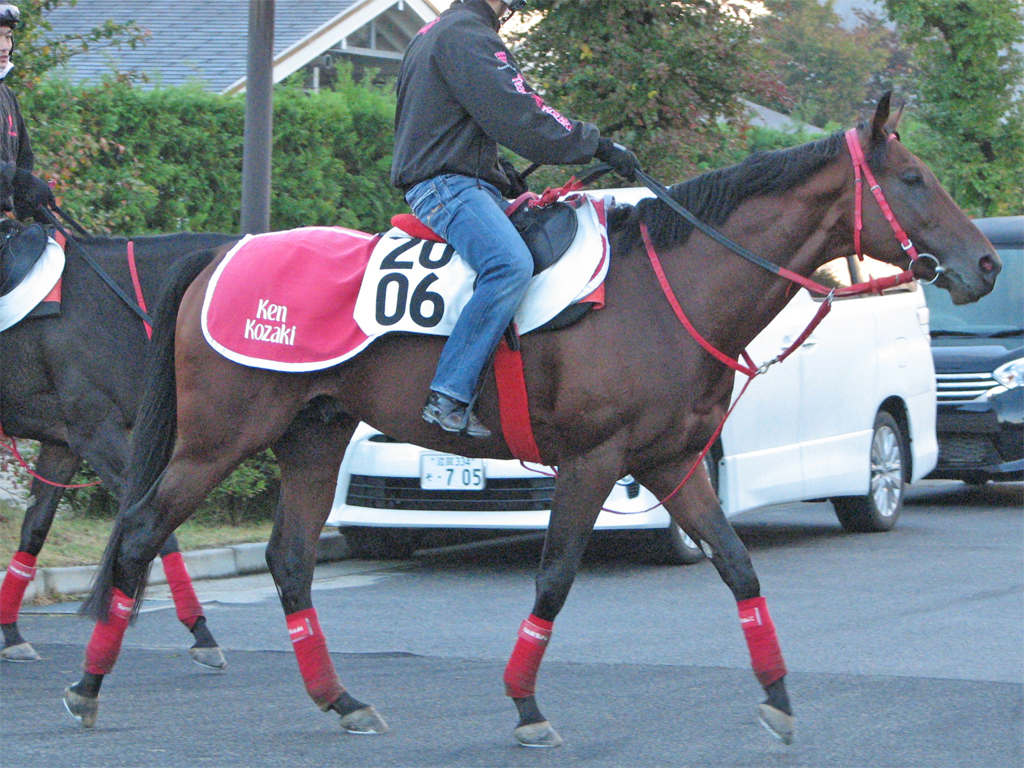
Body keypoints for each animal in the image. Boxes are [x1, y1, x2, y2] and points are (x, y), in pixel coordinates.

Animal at [1, 221, 239, 667]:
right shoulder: (99, 433)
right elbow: (153, 526)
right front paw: (200, 630)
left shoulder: (66, 443)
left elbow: (34, 528)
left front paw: (10, 631)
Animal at [70, 96, 991, 745]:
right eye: (913, 179)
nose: (983, 263)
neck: (667, 291)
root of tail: (221, 253)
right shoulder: (594, 462)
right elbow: (554, 577)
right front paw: (524, 704)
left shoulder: (673, 464)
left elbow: (738, 569)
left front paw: (779, 698)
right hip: (218, 439)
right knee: (143, 530)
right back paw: (87, 687)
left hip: (313, 436)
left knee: (290, 561)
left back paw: (341, 700)